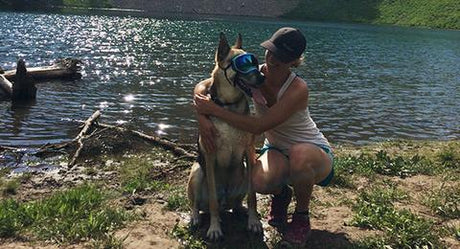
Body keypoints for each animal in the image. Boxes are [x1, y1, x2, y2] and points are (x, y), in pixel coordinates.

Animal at [188, 34, 262, 240]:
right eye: (243, 64)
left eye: (255, 62)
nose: (263, 77)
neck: (229, 106)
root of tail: (225, 203)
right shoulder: (210, 154)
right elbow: (212, 199)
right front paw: (214, 228)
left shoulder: (249, 152)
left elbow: (253, 196)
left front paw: (253, 221)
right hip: (197, 171)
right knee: (196, 204)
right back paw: (196, 217)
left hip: (244, 172)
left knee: (236, 203)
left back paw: (240, 210)